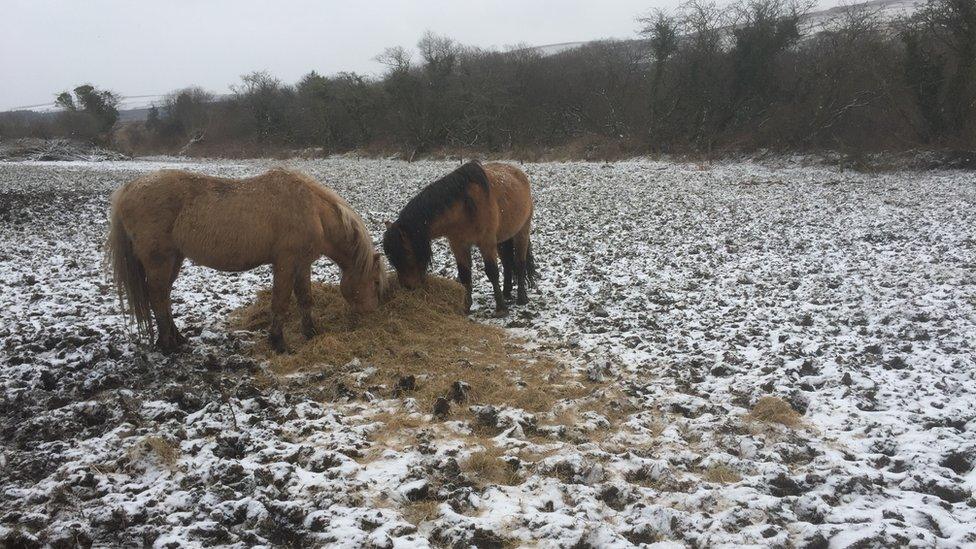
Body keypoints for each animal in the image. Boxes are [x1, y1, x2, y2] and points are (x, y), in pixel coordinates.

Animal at [105, 167, 384, 354]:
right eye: (374, 282)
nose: (371, 313)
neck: (312, 210)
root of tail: (128, 189)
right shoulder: (285, 263)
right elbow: (280, 302)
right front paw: (278, 342)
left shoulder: (303, 264)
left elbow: (305, 299)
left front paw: (311, 333)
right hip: (159, 261)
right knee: (158, 297)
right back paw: (169, 346)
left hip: (174, 260)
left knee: (162, 297)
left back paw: (177, 338)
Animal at [382, 159, 532, 312]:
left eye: (406, 253)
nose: (408, 287)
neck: (464, 207)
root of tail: (518, 173)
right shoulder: (458, 245)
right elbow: (464, 274)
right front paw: (466, 307)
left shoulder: (486, 243)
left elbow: (492, 272)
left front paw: (501, 308)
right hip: (503, 238)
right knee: (507, 263)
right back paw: (506, 293)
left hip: (522, 232)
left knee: (520, 263)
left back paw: (521, 298)